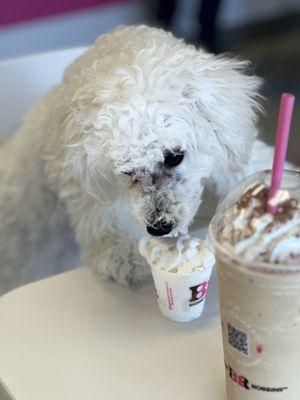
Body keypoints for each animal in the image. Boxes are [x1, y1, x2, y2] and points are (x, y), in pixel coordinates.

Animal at [0, 26, 282, 292]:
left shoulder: (222, 142)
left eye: (174, 157)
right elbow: (103, 214)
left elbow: (244, 165)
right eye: (125, 170)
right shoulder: (81, 180)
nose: (159, 228)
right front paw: (122, 253)